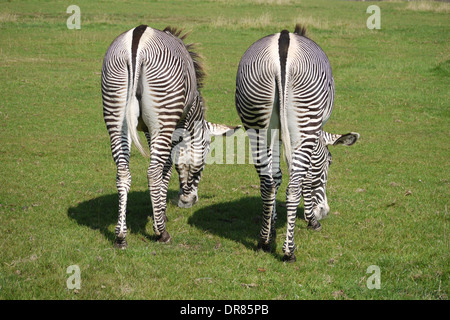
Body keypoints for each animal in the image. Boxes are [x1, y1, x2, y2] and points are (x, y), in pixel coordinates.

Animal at [101, 25, 239, 249]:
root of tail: (137, 39)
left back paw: (120, 236)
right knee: (153, 172)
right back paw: (161, 233)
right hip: (163, 111)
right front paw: (161, 215)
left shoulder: (148, 130)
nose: (189, 202)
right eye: (206, 156)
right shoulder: (180, 123)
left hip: (115, 109)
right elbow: (172, 163)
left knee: (122, 172)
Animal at [236, 23, 358, 262]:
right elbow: (306, 179)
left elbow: (277, 177)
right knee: (293, 187)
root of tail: (284, 42)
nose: (325, 212)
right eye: (330, 162)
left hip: (256, 123)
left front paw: (272, 226)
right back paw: (288, 251)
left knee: (267, 183)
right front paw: (312, 220)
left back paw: (264, 241)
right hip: (305, 120)